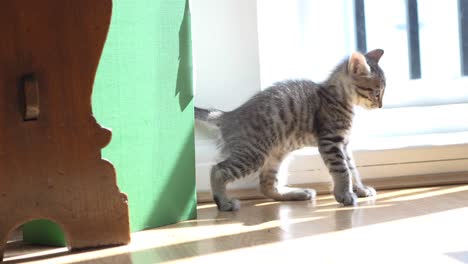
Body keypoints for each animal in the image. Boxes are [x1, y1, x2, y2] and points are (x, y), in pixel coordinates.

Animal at [196, 49, 386, 210]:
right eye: (376, 92)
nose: (380, 105)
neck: (337, 98)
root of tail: (229, 115)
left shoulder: (344, 144)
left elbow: (353, 169)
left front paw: (360, 189)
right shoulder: (330, 142)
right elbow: (342, 170)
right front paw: (345, 195)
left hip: (276, 156)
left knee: (267, 186)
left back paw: (298, 193)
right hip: (253, 154)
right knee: (218, 170)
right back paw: (223, 202)